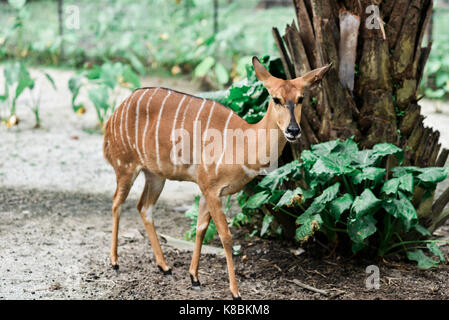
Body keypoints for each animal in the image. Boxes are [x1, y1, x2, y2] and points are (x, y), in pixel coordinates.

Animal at [103, 56, 330, 298]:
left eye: (300, 98)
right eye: (276, 99)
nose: (293, 130)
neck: (244, 142)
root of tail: (114, 115)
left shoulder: (207, 190)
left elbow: (201, 228)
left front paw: (194, 278)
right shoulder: (212, 189)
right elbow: (226, 237)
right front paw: (235, 291)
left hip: (155, 175)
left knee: (144, 207)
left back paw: (164, 266)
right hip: (125, 166)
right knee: (117, 202)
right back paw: (115, 262)